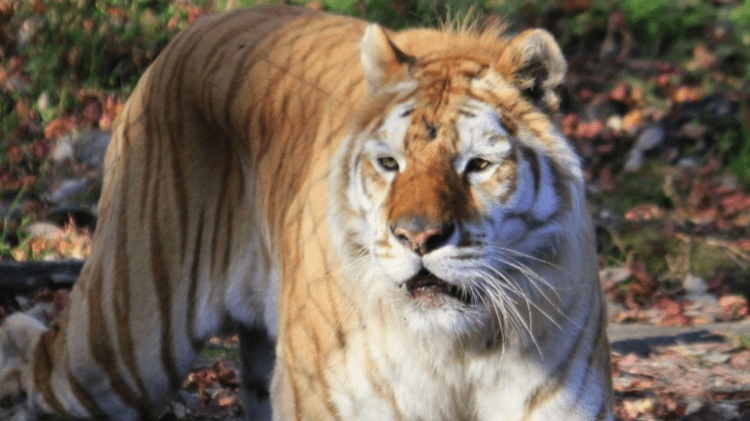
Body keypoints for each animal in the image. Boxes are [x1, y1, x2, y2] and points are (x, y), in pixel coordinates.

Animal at [0, 4, 613, 421]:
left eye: (478, 166)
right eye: (389, 163)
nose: (417, 238)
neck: (456, 352)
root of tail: (192, 31)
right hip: (117, 346)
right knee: (32, 361)